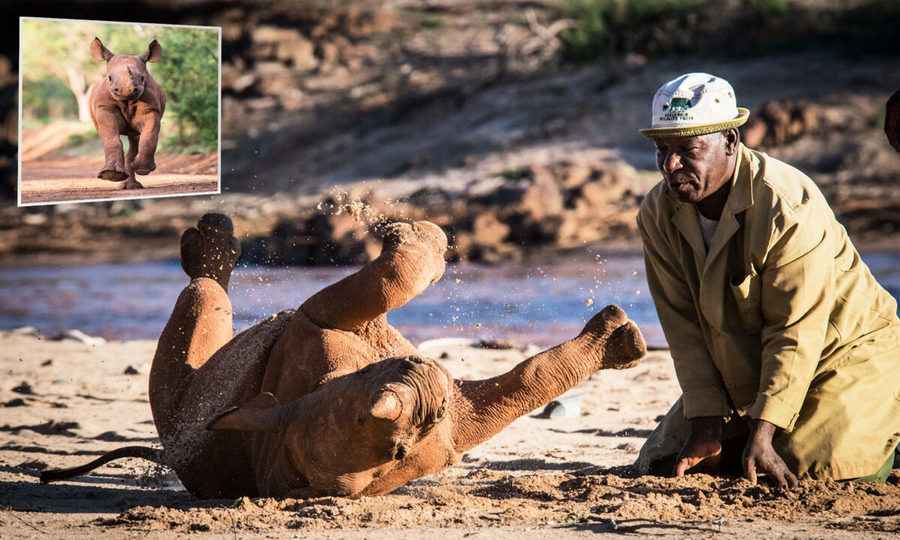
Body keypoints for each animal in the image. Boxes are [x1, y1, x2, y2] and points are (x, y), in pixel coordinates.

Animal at [42, 214, 648, 498]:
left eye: (399, 450)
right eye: (365, 417)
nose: (426, 392)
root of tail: (169, 455)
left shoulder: (450, 426)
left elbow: (523, 383)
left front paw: (624, 342)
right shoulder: (319, 330)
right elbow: (387, 283)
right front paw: (419, 235)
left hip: (185, 413)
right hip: (184, 408)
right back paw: (212, 242)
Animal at [89, 37, 166, 190]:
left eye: (142, 78)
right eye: (109, 78)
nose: (126, 91)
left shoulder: (151, 109)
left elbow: (149, 136)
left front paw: (143, 169)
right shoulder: (104, 108)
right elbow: (111, 137)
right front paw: (111, 175)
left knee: (135, 139)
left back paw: (132, 185)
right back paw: (123, 184)